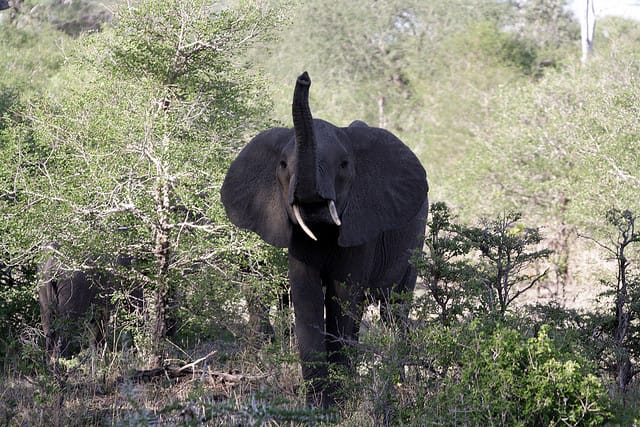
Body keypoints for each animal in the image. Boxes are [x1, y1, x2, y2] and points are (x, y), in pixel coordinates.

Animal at [221, 72, 428, 407]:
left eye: (344, 165)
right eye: (282, 165)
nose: (304, 78)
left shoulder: (361, 224)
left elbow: (343, 296)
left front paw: (339, 402)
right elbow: (306, 295)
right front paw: (318, 404)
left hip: (415, 240)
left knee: (394, 310)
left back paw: (399, 387)